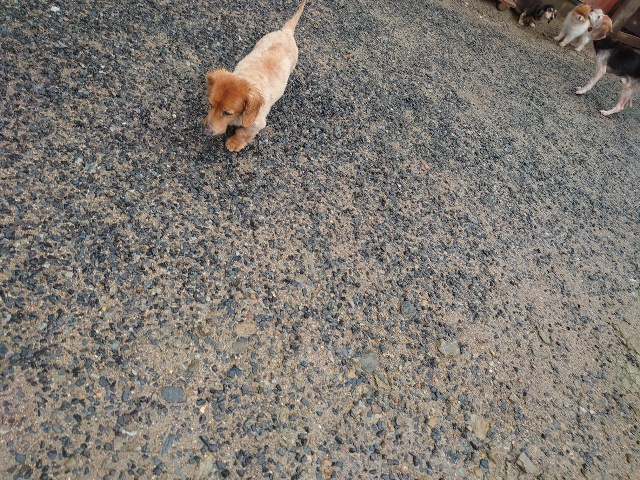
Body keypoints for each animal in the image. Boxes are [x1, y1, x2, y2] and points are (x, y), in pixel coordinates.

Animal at [203, 0, 307, 151]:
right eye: (210, 104)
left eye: (227, 113)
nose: (206, 130)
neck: (248, 79)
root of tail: (286, 32)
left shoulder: (256, 124)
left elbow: (243, 133)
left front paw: (235, 142)